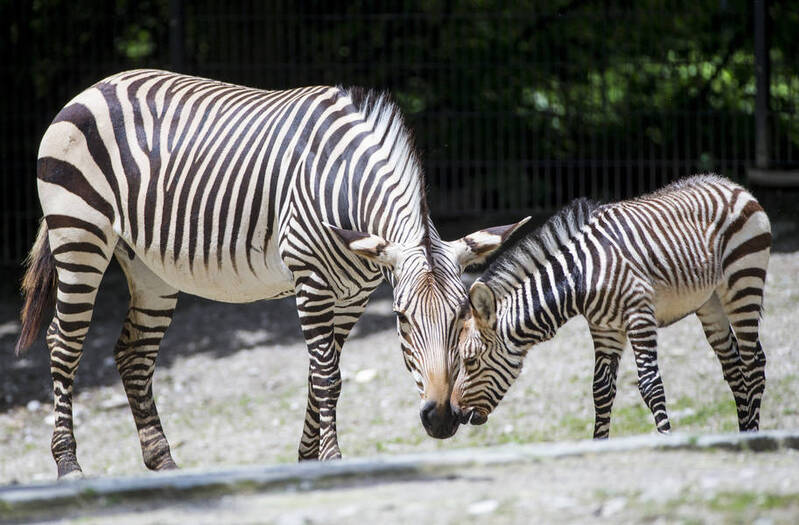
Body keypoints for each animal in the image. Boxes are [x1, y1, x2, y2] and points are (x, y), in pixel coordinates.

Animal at [14, 69, 528, 478]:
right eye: (401, 319)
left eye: (462, 317)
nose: (441, 419)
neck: (346, 184)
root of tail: (96, 86)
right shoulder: (312, 282)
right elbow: (328, 378)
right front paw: (331, 462)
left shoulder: (353, 297)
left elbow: (318, 376)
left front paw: (306, 460)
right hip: (79, 233)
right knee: (64, 342)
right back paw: (68, 465)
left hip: (148, 266)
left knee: (133, 353)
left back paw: (164, 464)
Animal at [450, 175, 771, 438]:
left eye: (470, 361)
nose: (454, 413)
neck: (579, 277)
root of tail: (733, 186)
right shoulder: (603, 328)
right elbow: (601, 390)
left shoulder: (640, 315)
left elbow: (650, 384)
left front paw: (666, 439)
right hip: (709, 301)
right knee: (733, 367)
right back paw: (742, 433)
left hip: (743, 281)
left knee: (753, 362)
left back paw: (752, 434)